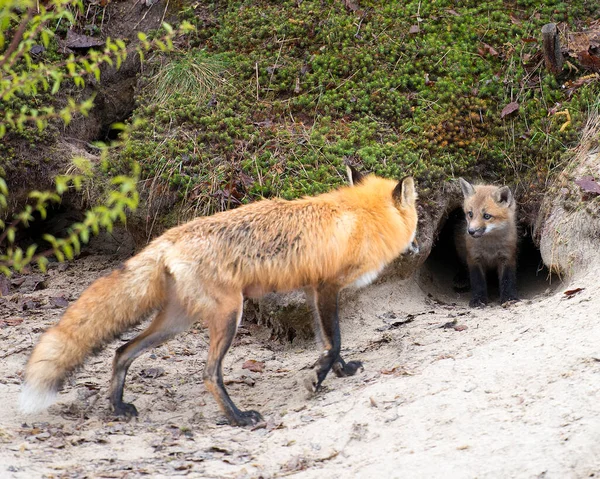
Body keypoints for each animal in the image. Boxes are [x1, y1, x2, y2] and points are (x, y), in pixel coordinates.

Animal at [19, 168, 418, 428]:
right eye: (417, 216)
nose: (417, 247)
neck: (361, 217)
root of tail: (168, 238)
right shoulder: (327, 287)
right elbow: (334, 342)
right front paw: (317, 379)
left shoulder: (311, 290)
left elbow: (327, 343)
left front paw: (338, 372)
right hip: (229, 314)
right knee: (210, 374)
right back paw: (238, 418)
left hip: (176, 322)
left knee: (122, 351)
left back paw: (117, 407)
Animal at [458, 177, 516, 308]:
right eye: (470, 214)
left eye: (487, 216)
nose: (471, 231)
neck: (490, 246)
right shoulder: (474, 258)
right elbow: (478, 282)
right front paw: (478, 300)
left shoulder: (507, 257)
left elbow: (507, 280)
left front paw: (509, 298)